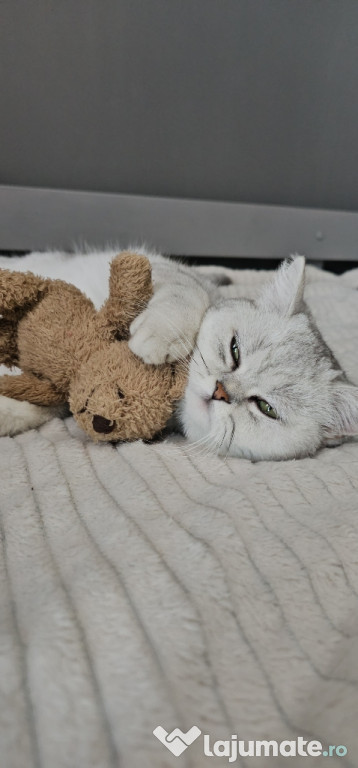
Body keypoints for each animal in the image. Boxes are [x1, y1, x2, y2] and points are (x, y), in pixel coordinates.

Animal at [0, 250, 358, 462]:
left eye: (266, 408)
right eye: (235, 350)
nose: (220, 391)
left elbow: (49, 403)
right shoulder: (161, 268)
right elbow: (190, 293)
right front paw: (157, 335)